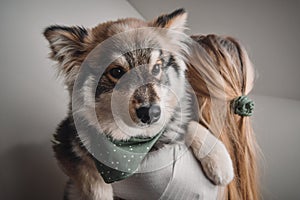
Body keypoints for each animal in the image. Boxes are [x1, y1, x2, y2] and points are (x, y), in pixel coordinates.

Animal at [44, 8, 234, 200]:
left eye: (157, 68)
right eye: (116, 72)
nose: (152, 113)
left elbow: (190, 124)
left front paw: (220, 161)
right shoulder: (65, 144)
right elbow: (93, 183)